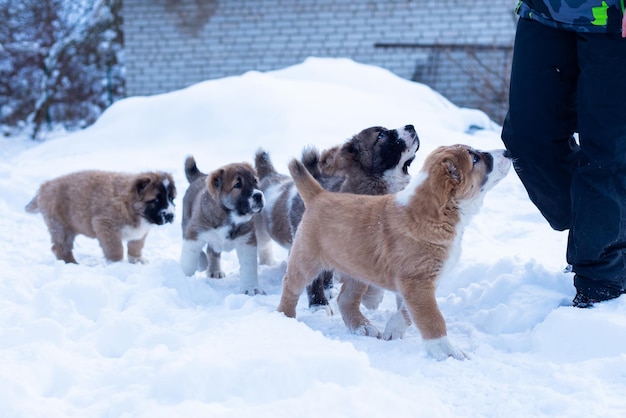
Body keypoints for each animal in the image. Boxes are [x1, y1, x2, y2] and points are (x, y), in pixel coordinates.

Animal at [24, 169, 176, 262]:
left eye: (171, 198)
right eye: (156, 200)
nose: (170, 216)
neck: (128, 204)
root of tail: (45, 186)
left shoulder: (140, 232)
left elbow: (136, 245)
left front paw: (137, 260)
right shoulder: (105, 224)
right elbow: (115, 249)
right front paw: (117, 265)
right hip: (60, 227)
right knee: (60, 247)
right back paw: (71, 263)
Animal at [179, 155, 264, 296]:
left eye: (255, 180)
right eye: (237, 185)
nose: (258, 195)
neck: (230, 217)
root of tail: (199, 176)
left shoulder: (246, 242)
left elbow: (248, 268)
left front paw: (251, 288)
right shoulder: (194, 234)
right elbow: (189, 261)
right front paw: (183, 279)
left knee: (211, 251)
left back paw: (214, 271)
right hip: (187, 224)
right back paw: (203, 263)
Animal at [278, 144, 512, 360]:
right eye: (475, 159)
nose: (508, 152)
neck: (439, 213)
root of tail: (320, 195)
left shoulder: (416, 284)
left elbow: (408, 312)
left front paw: (393, 329)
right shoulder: (417, 283)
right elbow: (432, 318)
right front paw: (447, 351)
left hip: (357, 269)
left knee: (346, 299)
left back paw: (362, 326)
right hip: (306, 260)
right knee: (291, 287)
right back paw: (285, 318)